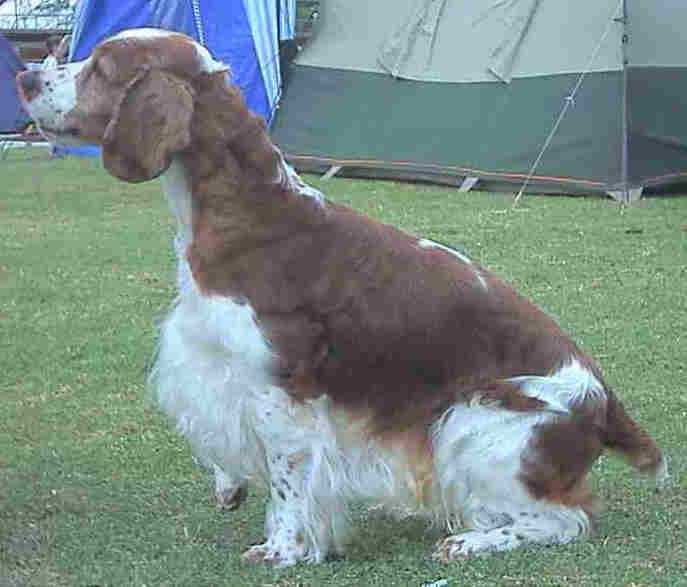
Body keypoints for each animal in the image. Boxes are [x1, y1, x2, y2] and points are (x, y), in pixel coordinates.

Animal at [18, 29, 668, 568]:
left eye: (101, 67)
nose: (24, 76)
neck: (248, 215)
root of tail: (606, 404)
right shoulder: (214, 366)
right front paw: (230, 486)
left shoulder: (280, 390)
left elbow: (287, 480)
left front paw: (281, 550)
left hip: (476, 424)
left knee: (566, 519)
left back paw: (470, 542)